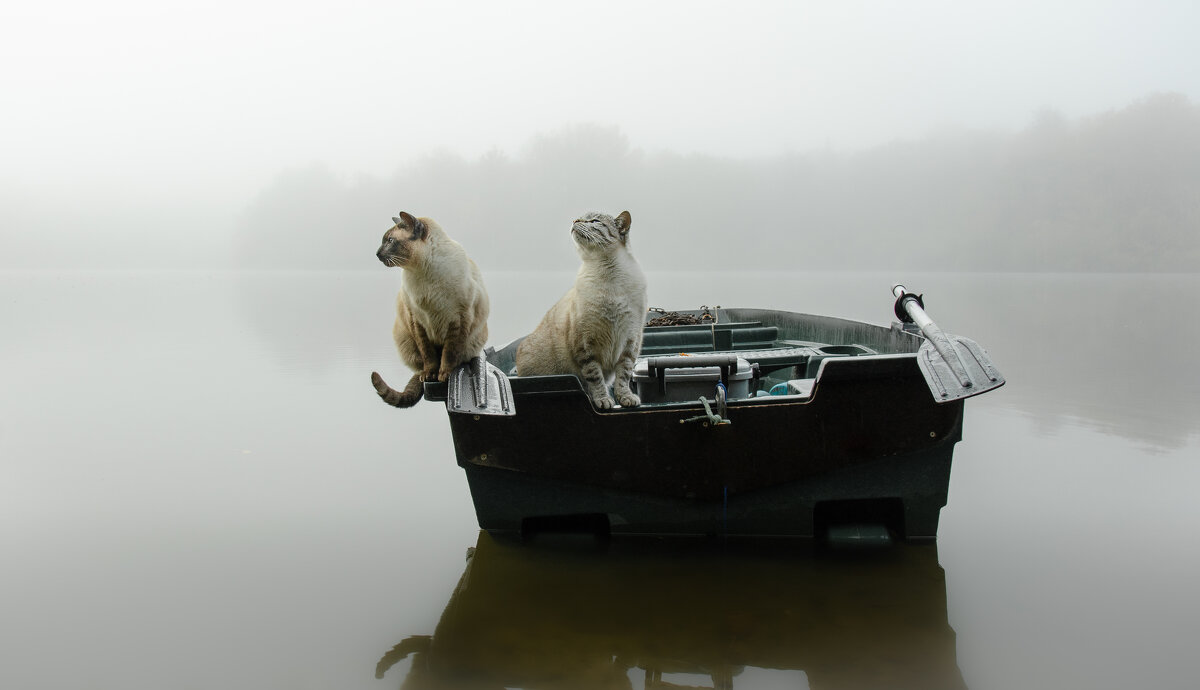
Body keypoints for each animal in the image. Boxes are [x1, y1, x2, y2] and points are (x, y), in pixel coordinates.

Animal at [372, 213, 489, 408]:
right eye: (384, 240)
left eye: (390, 240)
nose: (377, 253)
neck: (423, 273)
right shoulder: (417, 320)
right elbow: (428, 354)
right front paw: (430, 375)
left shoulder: (458, 318)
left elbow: (449, 353)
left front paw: (444, 376)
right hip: (406, 340)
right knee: (421, 365)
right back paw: (424, 375)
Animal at [516, 207, 648, 408]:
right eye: (580, 218)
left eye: (594, 221)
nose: (574, 220)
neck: (608, 277)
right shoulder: (586, 346)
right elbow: (596, 379)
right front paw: (603, 400)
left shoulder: (630, 342)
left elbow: (623, 377)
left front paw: (625, 398)